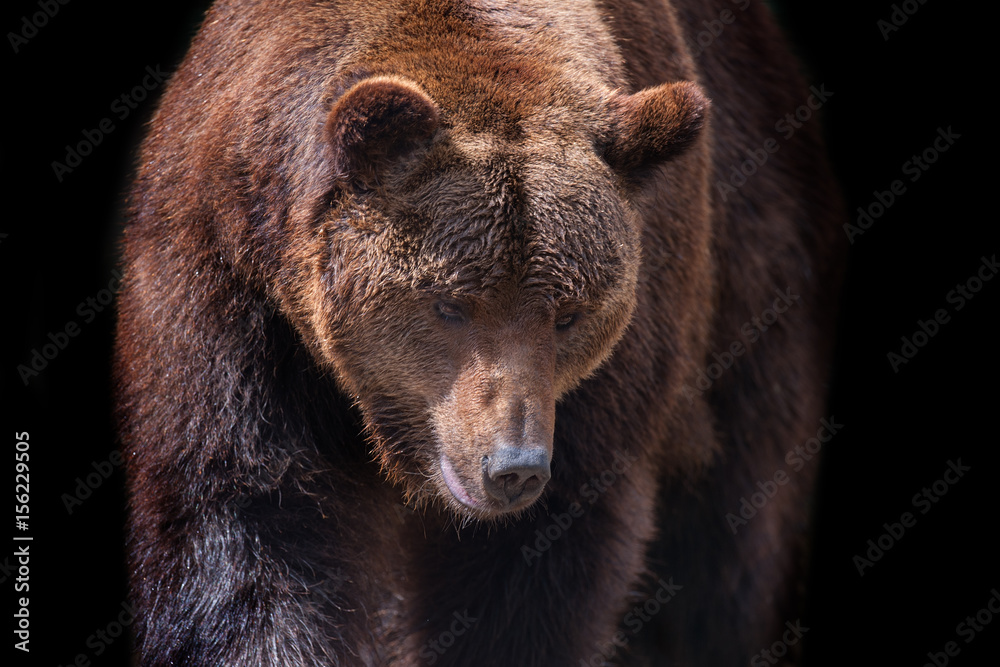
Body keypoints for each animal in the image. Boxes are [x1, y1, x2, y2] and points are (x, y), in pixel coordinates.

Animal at [113, 0, 846, 665]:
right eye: (450, 304)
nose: (512, 465)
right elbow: (252, 524)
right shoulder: (230, 288)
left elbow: (531, 575)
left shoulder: (614, 375)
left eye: (570, 312)